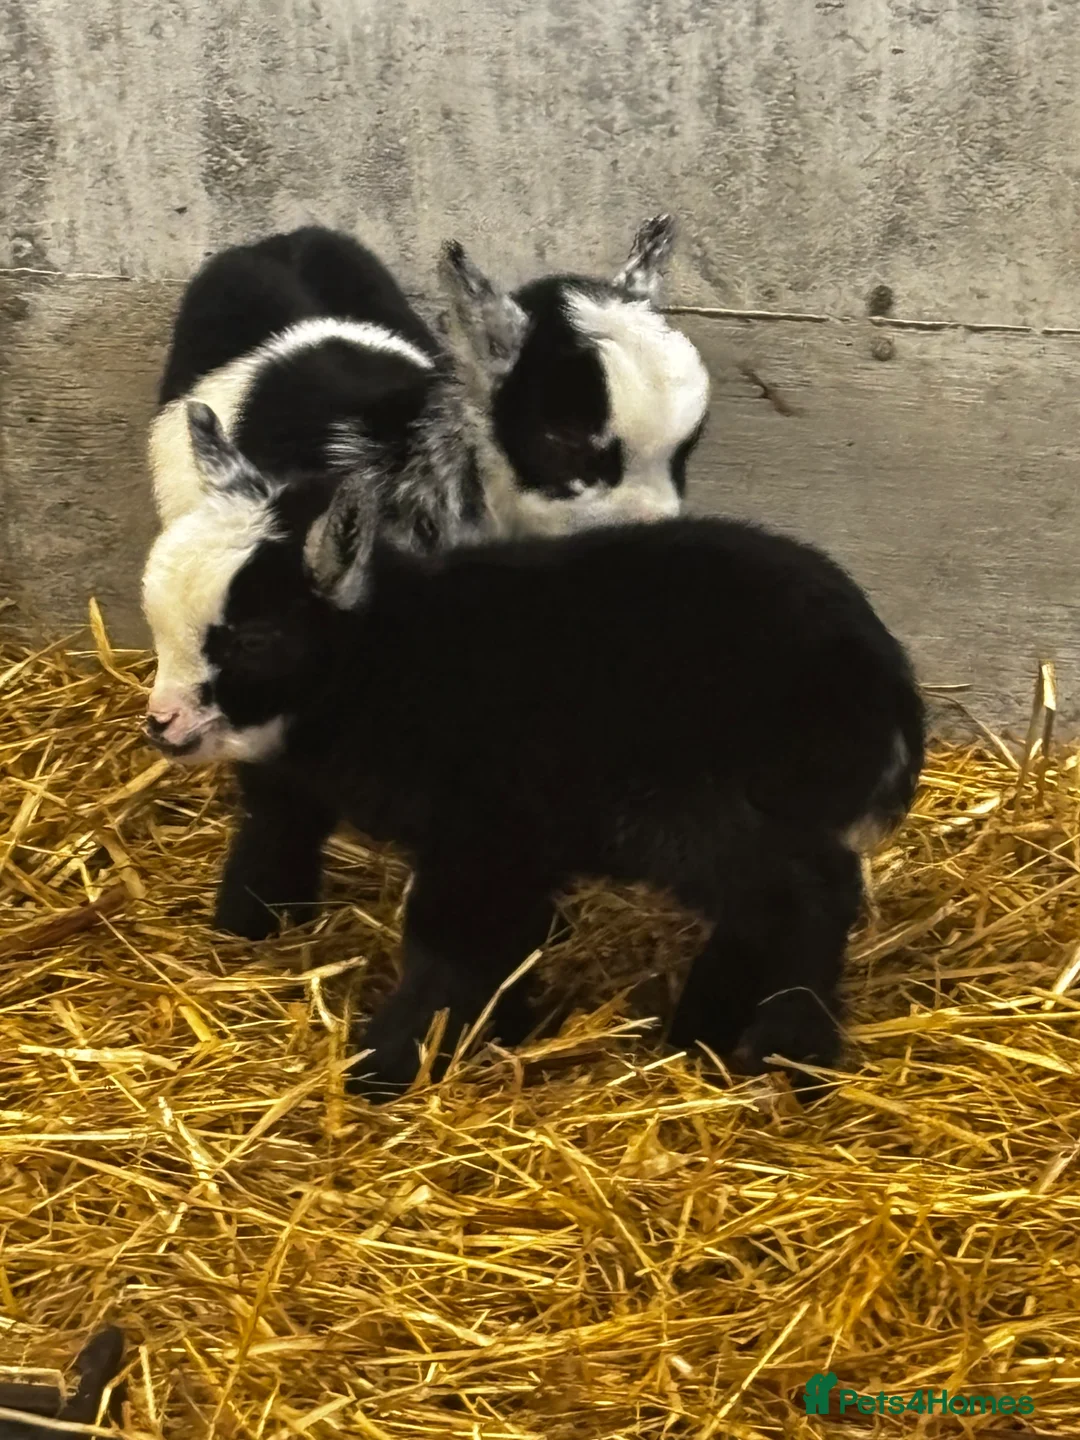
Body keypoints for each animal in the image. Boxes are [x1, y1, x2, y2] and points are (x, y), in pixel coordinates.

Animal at [144, 402, 924, 1095]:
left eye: (254, 640)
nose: (161, 723)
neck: (392, 655)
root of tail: (890, 685)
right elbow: (274, 836)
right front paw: (245, 934)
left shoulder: (487, 826)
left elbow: (451, 940)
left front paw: (387, 1064)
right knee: (764, 904)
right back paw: (699, 1031)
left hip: (708, 806)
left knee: (812, 893)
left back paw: (789, 1054)